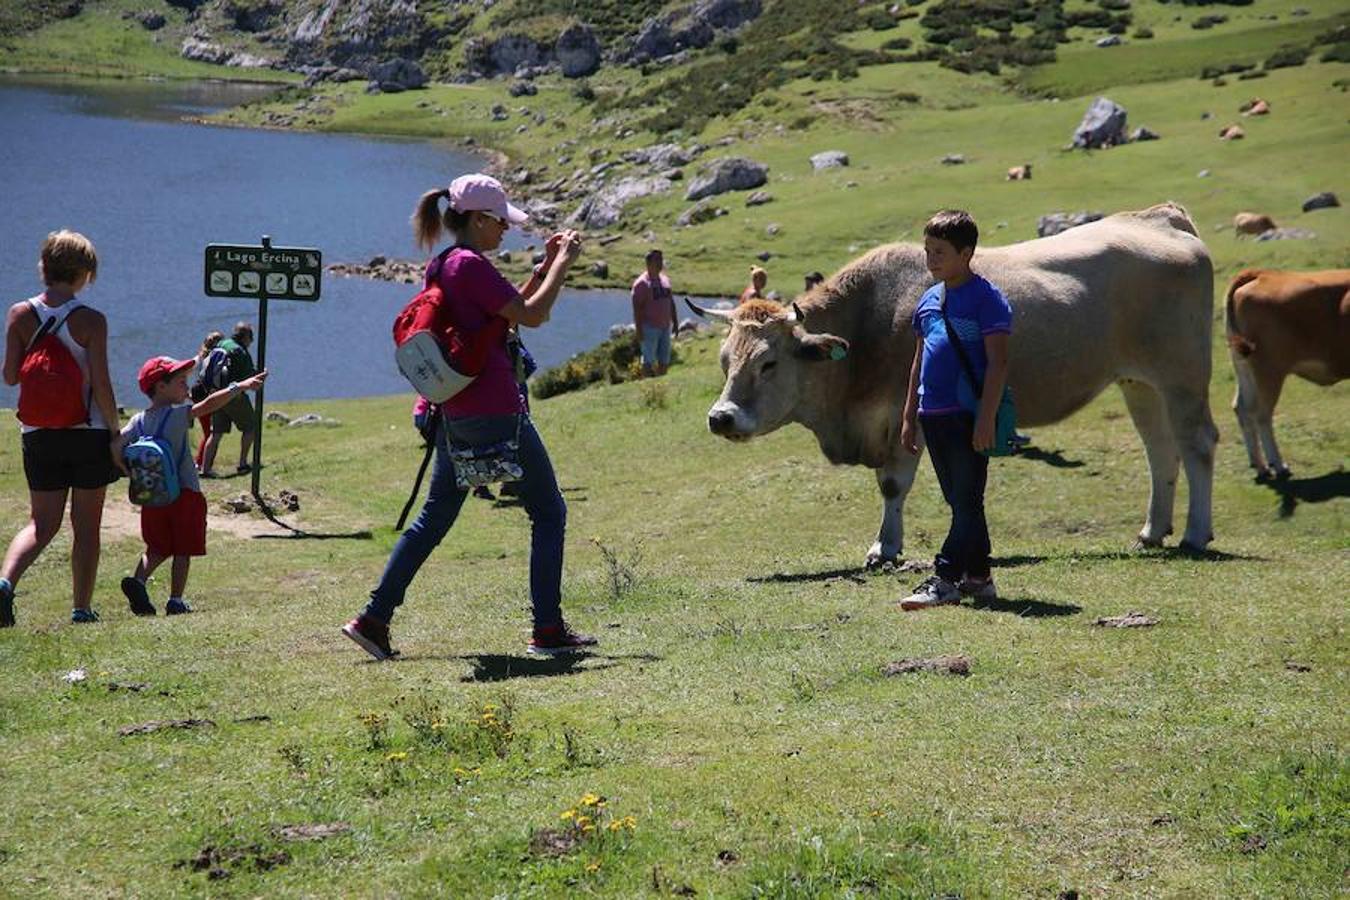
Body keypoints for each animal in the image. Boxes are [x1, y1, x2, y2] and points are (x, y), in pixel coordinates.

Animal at [1231, 267, 1344, 477]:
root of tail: (1263, 274)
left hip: (1245, 370)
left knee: (1242, 409)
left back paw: (1260, 465)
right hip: (1268, 372)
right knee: (1262, 415)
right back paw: (1278, 465)